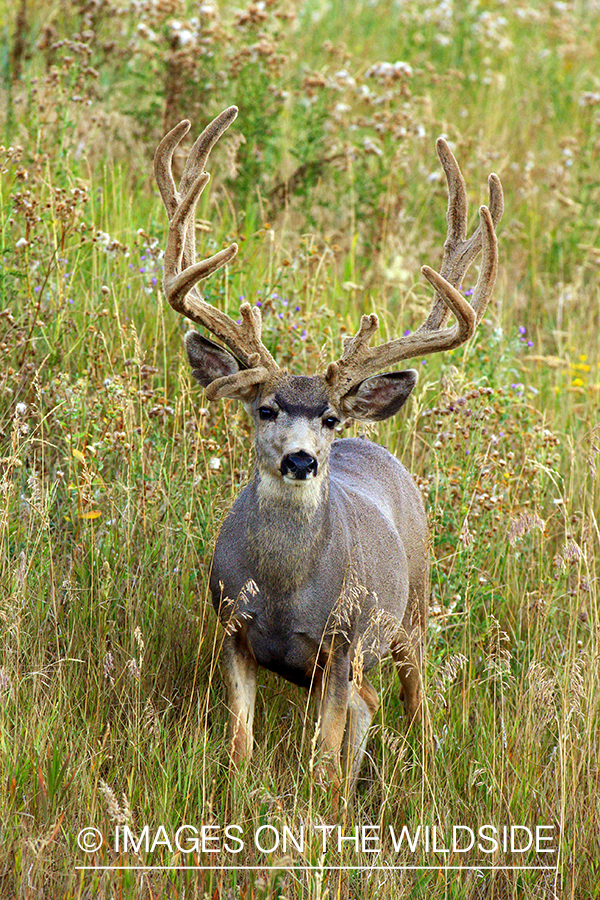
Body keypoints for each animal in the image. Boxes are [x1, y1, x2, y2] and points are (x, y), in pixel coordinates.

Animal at [153, 106, 502, 801]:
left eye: (330, 417)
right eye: (265, 409)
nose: (301, 460)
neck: (286, 591)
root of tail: (377, 448)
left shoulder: (341, 642)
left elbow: (321, 760)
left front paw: (319, 810)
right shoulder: (231, 628)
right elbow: (241, 744)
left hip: (411, 610)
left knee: (411, 701)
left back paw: (418, 767)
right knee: (369, 707)